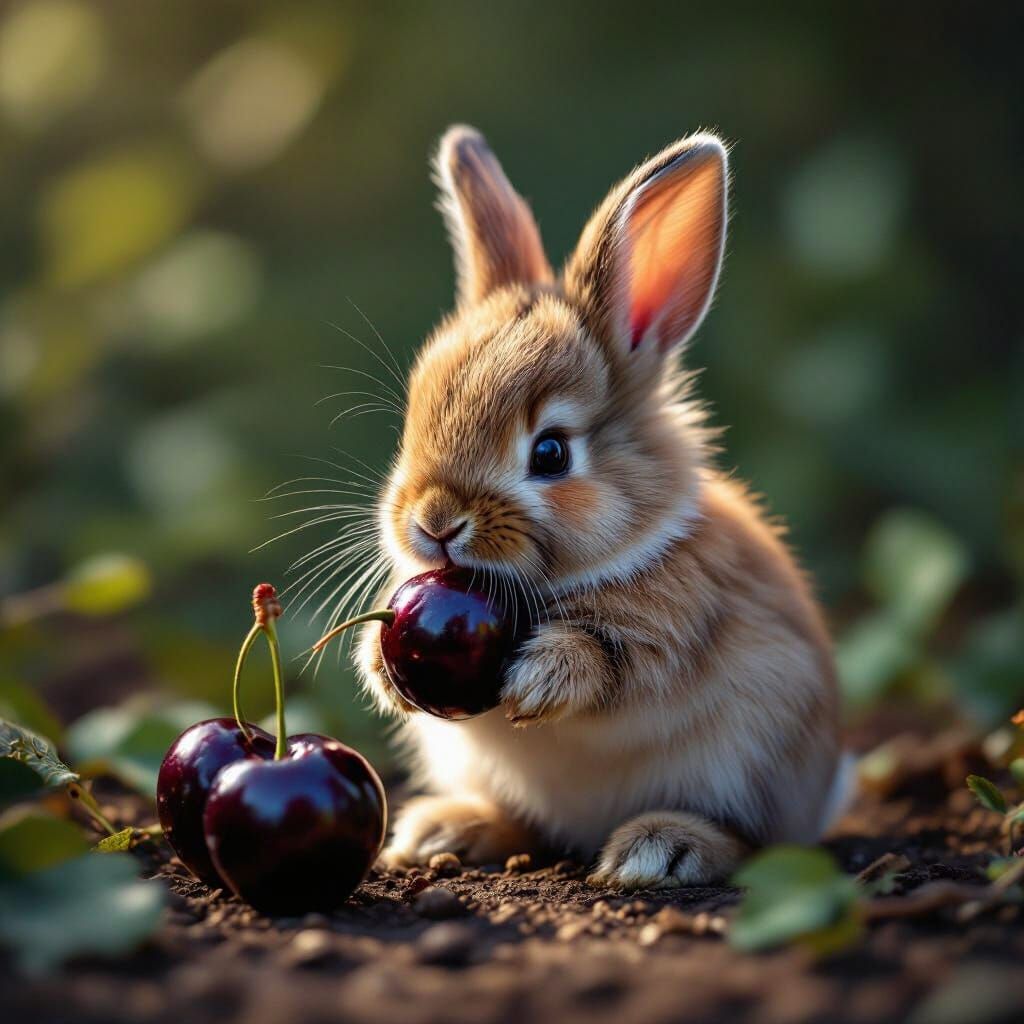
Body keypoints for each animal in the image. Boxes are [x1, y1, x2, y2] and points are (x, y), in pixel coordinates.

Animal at [354, 124, 849, 889]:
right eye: (413, 423)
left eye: (551, 453)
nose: (435, 524)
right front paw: (384, 675)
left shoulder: (671, 625)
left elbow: (607, 659)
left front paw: (533, 685)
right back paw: (446, 830)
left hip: (759, 762)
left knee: (754, 843)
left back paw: (660, 850)